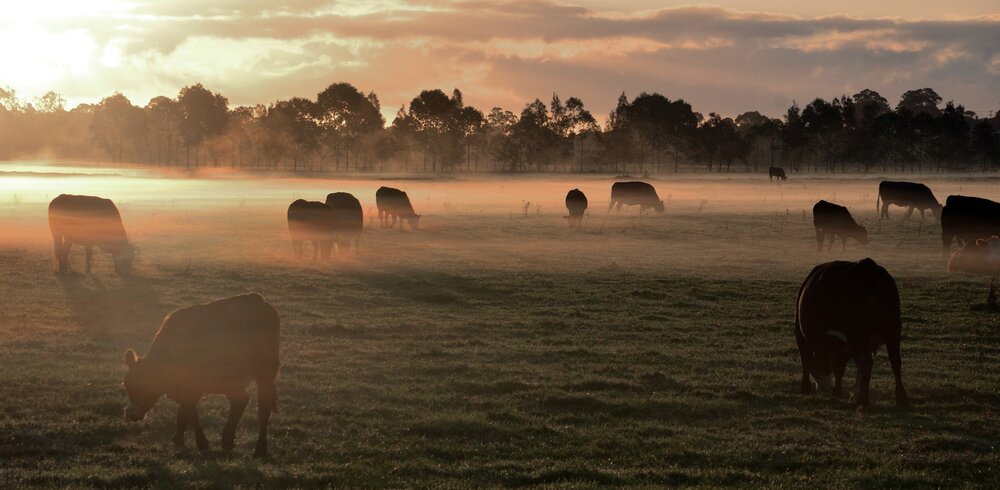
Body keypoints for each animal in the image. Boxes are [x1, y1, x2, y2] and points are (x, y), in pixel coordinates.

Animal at [122, 293, 280, 457]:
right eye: (126, 386)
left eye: (138, 387)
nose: (129, 413)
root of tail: (256, 299)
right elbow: (183, 413)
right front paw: (178, 439)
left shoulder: (190, 388)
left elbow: (191, 413)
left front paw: (202, 444)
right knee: (244, 400)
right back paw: (229, 440)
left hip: (260, 372)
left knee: (261, 405)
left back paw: (259, 448)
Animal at [795, 259, 908, 407]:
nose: (823, 387)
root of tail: (867, 266)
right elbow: (841, 367)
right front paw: (838, 391)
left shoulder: (801, 335)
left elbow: (806, 360)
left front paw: (805, 389)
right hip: (893, 331)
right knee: (895, 361)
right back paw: (901, 398)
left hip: (861, 336)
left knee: (866, 363)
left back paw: (862, 400)